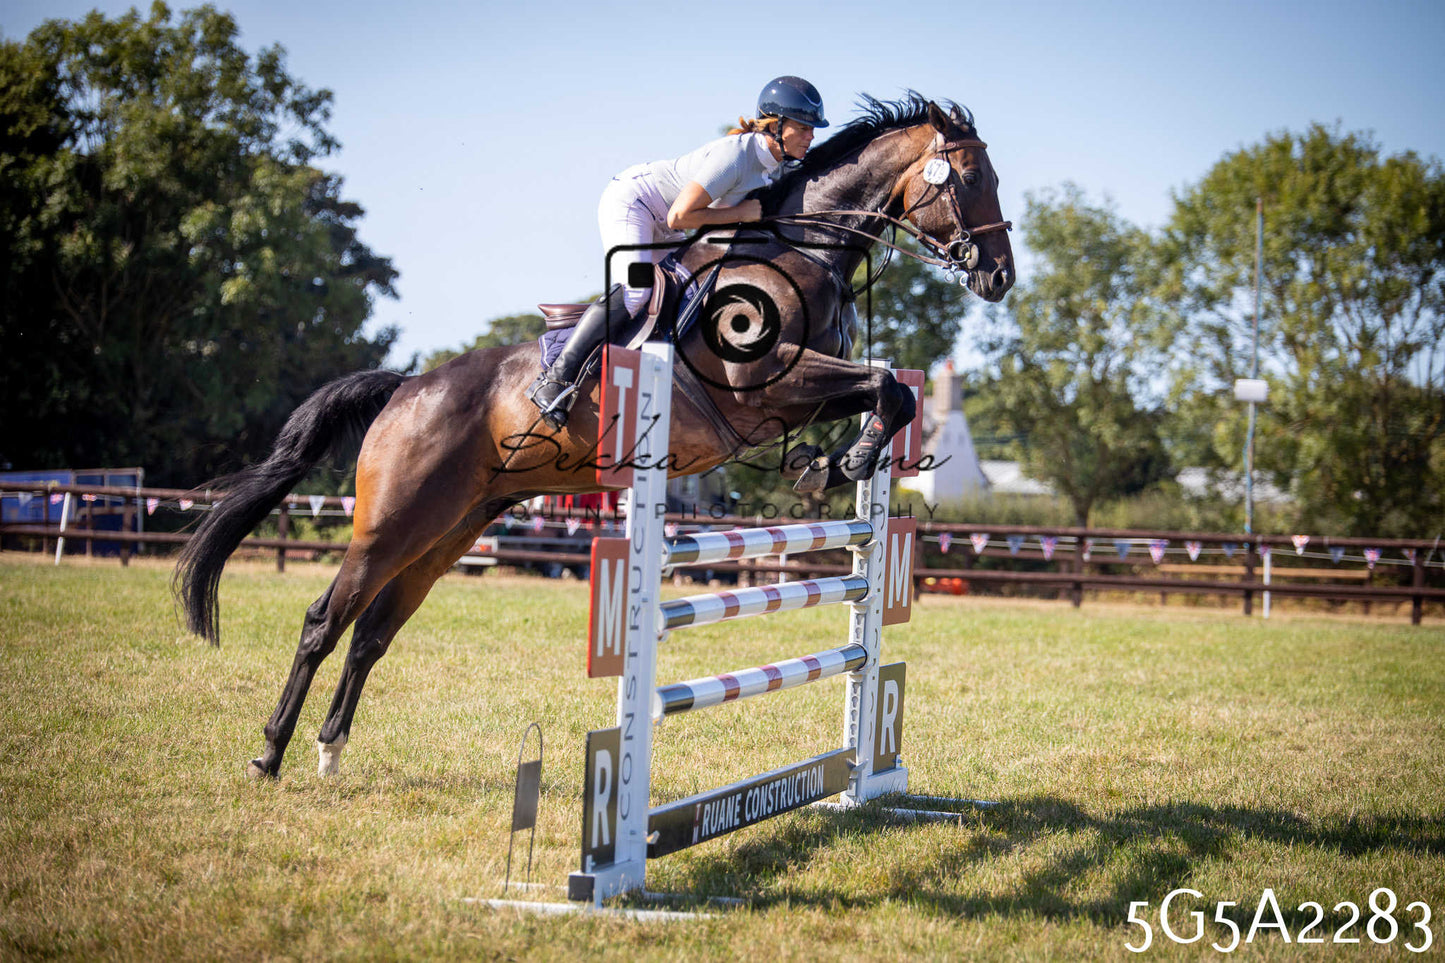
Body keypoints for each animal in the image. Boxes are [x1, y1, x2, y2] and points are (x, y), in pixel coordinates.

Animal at [174, 94, 1014, 779]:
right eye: (972, 178)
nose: (1000, 277)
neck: (798, 251)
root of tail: (407, 388)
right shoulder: (763, 385)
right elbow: (888, 385)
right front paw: (844, 460)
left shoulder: (789, 394)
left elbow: (887, 390)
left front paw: (827, 462)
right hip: (392, 519)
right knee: (325, 621)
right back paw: (269, 752)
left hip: (451, 527)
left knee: (372, 631)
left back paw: (329, 749)